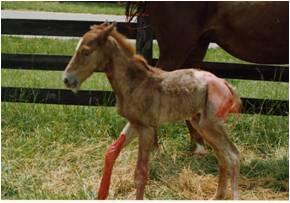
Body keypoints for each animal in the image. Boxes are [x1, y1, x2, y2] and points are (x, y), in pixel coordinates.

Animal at [64, 22, 241, 200]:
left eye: (86, 52)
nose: (67, 79)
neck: (136, 82)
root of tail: (225, 84)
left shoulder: (146, 129)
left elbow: (141, 173)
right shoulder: (134, 124)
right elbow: (111, 151)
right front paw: (101, 194)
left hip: (210, 126)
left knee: (233, 155)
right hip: (199, 123)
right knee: (222, 156)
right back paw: (217, 196)